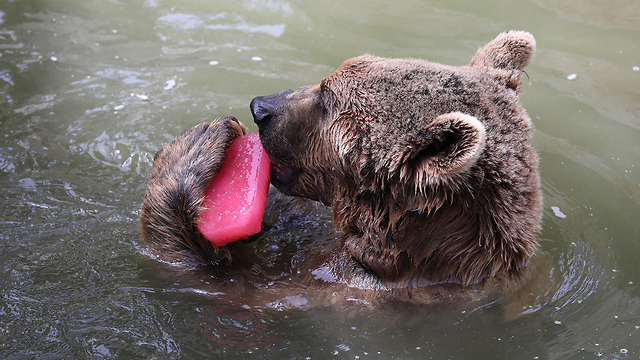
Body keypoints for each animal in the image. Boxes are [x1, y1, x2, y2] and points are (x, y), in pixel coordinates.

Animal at [140, 31, 544, 306]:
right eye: (327, 81)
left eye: (327, 99)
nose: (260, 108)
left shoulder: (341, 287)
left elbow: (223, 288)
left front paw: (196, 146)